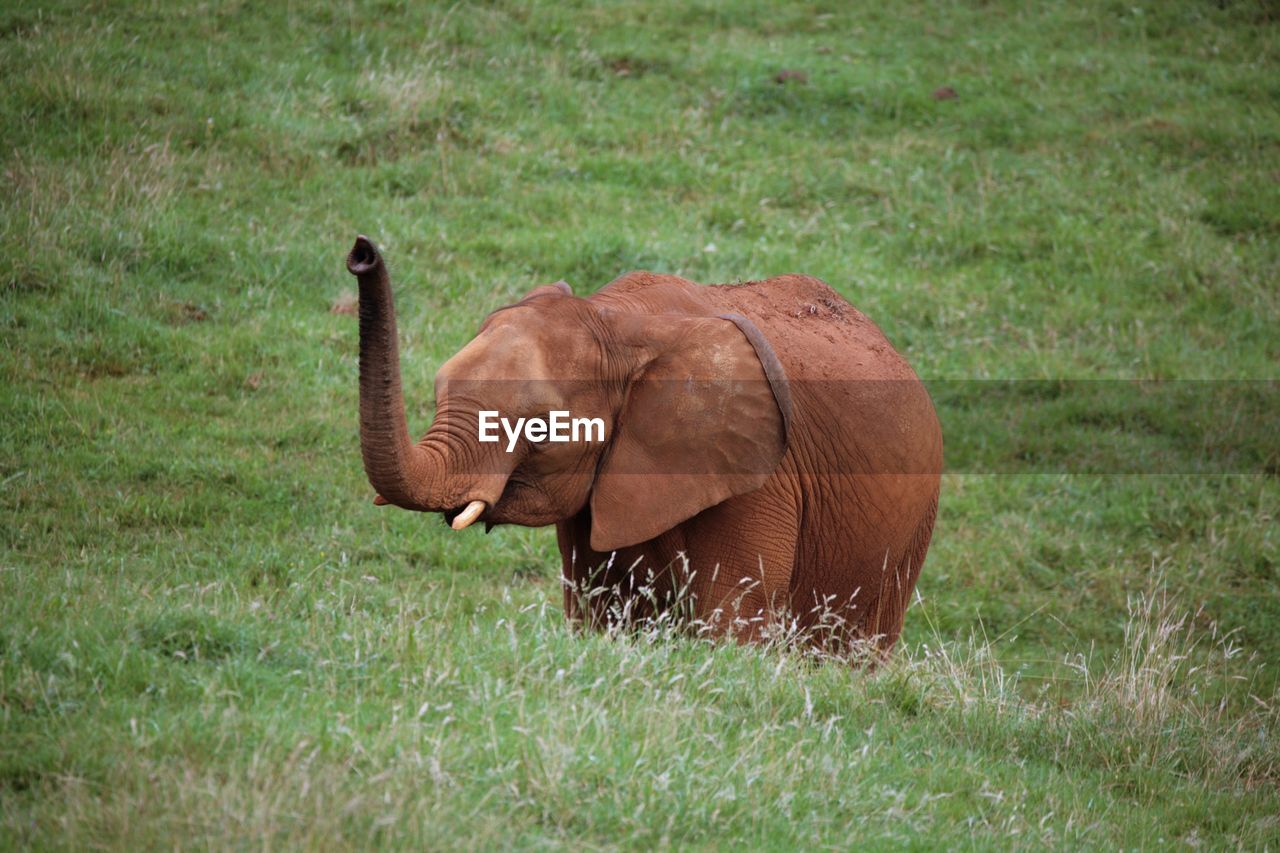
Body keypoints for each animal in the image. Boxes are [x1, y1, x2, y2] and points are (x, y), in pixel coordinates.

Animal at [345, 235, 947, 653]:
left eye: (540, 430)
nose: (360, 253)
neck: (615, 319)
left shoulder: (760, 475)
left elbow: (734, 615)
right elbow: (601, 609)